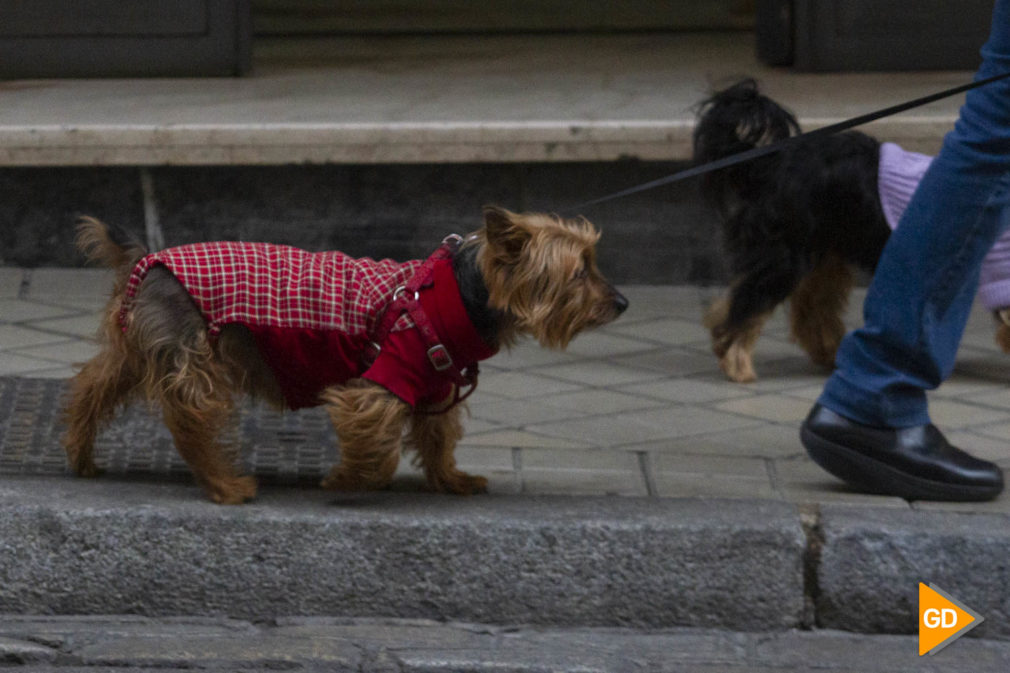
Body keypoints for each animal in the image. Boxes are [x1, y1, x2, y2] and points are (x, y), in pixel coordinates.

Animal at [694, 76, 892, 379]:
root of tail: (770, 165)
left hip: (820, 253)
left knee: (808, 308)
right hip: (787, 256)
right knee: (749, 304)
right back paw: (737, 363)